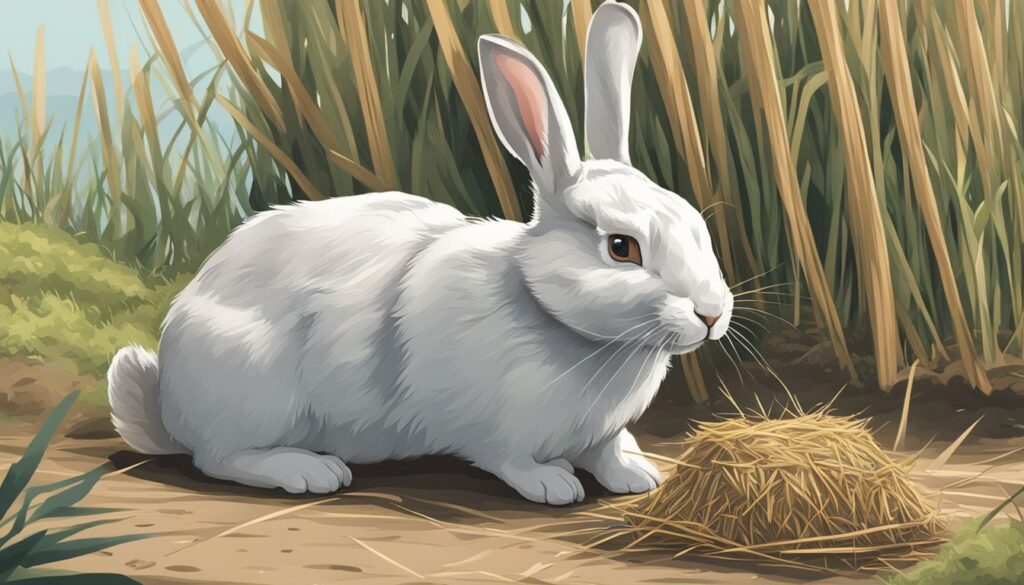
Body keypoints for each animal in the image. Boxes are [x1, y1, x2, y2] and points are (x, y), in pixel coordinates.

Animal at [107, 1, 733, 505]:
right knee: (218, 457)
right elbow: (510, 459)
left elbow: (607, 449)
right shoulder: (495, 425)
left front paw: (634, 475)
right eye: (621, 248)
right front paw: (554, 485)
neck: (556, 317)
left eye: (694, 227)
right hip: (254, 387)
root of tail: (169, 403)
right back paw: (311, 472)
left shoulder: (600, 429)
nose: (711, 314)